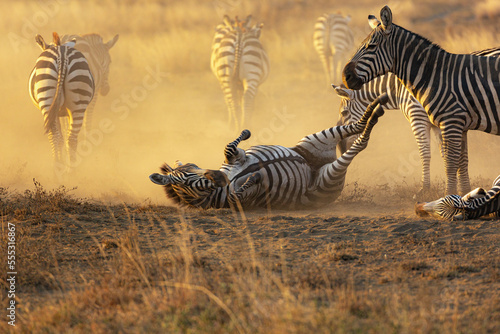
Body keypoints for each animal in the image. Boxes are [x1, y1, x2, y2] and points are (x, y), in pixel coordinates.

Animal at [29, 32, 94, 170]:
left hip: (47, 100)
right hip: (78, 102)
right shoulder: (64, 112)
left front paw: (60, 163)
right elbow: (65, 136)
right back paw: (72, 171)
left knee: (55, 136)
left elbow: (58, 137)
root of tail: (62, 56)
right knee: (72, 139)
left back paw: (57, 168)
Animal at [146, 94, 388, 209]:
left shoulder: (237, 157)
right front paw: (252, 178)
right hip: (327, 179)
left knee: (356, 126)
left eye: (194, 167)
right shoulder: (243, 201)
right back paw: (376, 113)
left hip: (313, 140)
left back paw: (376, 104)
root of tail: (315, 164)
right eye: (186, 181)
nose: (220, 176)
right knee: (360, 142)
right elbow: (239, 193)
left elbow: (230, 147)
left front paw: (245, 133)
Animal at [344, 5, 500, 196]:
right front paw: (465, 193)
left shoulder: (443, 120)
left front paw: (443, 196)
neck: (434, 75)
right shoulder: (456, 125)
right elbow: (460, 161)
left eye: (371, 46)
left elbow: (443, 160)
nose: (345, 76)